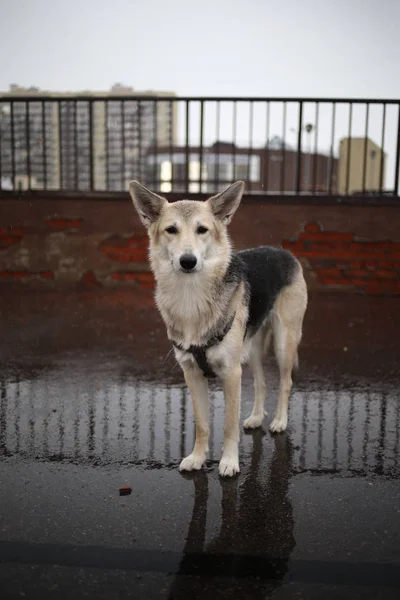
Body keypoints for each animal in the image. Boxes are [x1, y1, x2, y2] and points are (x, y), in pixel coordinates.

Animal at [130, 180, 308, 476]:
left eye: (202, 230)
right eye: (171, 230)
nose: (188, 261)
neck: (191, 297)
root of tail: (284, 252)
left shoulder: (231, 374)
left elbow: (228, 425)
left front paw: (229, 462)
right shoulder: (192, 373)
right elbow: (202, 424)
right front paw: (197, 458)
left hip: (284, 343)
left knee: (285, 382)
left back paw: (280, 421)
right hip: (251, 349)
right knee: (261, 382)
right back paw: (256, 417)